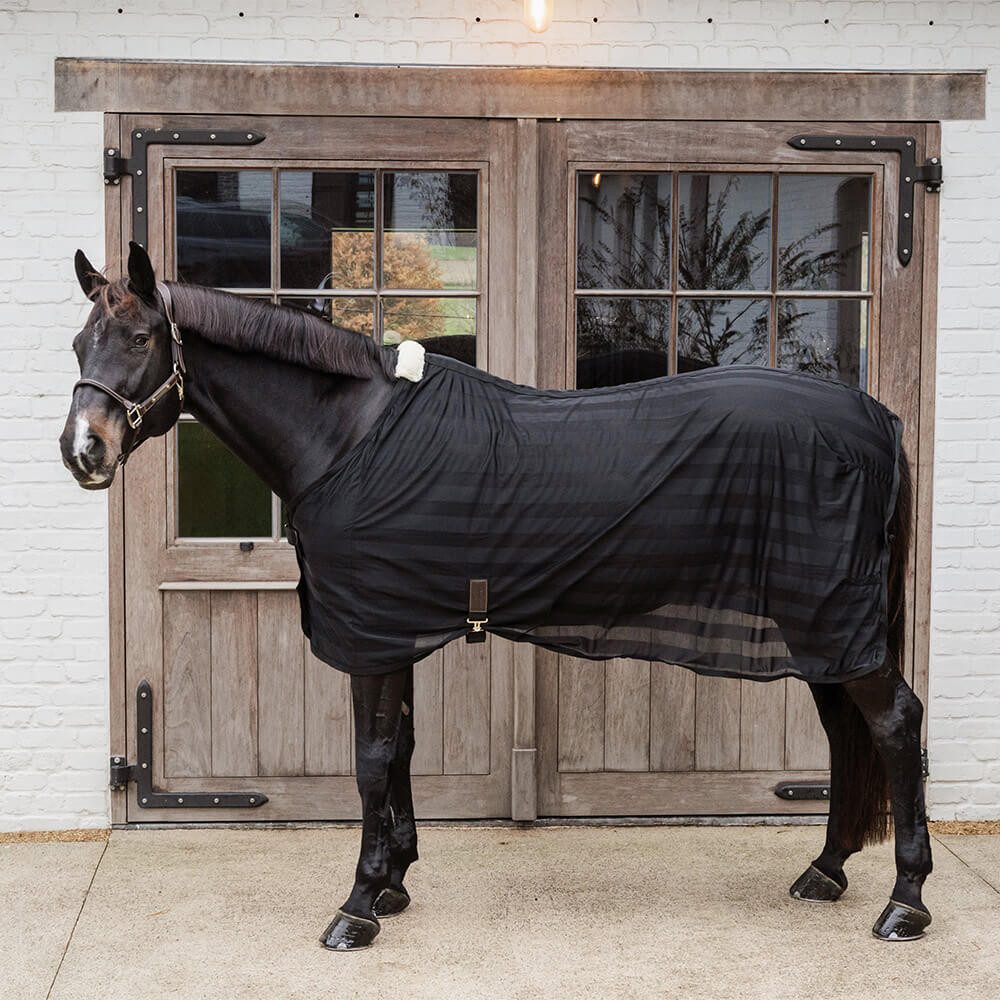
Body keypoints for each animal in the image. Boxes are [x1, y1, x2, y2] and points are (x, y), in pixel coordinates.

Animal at [60, 242, 932, 950]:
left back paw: (905, 902)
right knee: (847, 730)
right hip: (822, 630)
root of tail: (875, 417)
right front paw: (396, 881)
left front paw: (357, 907)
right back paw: (826, 868)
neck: (346, 436)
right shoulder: (392, 629)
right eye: (78, 342)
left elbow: (370, 762)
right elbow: (401, 750)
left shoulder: (370, 634)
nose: (83, 451)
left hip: (831, 621)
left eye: (140, 339)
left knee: (893, 723)